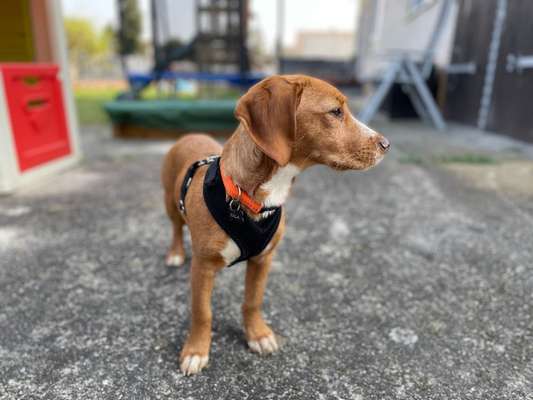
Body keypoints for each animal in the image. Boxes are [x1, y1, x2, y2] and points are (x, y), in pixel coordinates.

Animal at [160, 74, 388, 376]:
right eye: (336, 112)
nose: (386, 144)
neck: (247, 198)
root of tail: (190, 135)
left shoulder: (263, 259)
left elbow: (253, 301)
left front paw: (257, 335)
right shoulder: (203, 266)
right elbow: (202, 312)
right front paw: (196, 351)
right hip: (170, 203)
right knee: (176, 227)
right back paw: (175, 253)